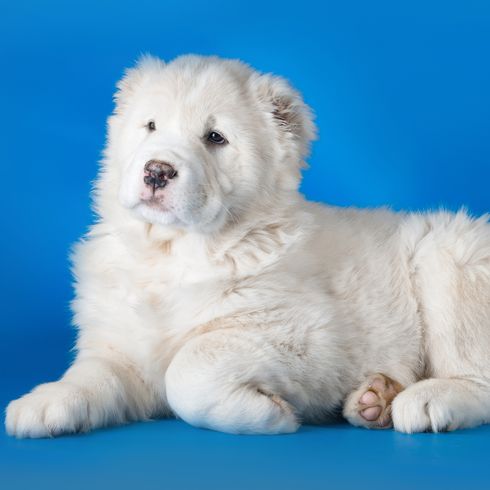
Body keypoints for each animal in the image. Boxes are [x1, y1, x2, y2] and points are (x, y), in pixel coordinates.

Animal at [4, 54, 490, 436]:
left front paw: (270, 415)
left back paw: (426, 400)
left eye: (215, 138)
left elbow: (189, 367)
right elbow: (93, 374)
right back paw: (376, 398)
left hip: (451, 259)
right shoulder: (120, 346)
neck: (171, 254)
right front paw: (44, 402)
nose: (157, 171)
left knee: (477, 375)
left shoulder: (305, 338)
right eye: (151, 126)